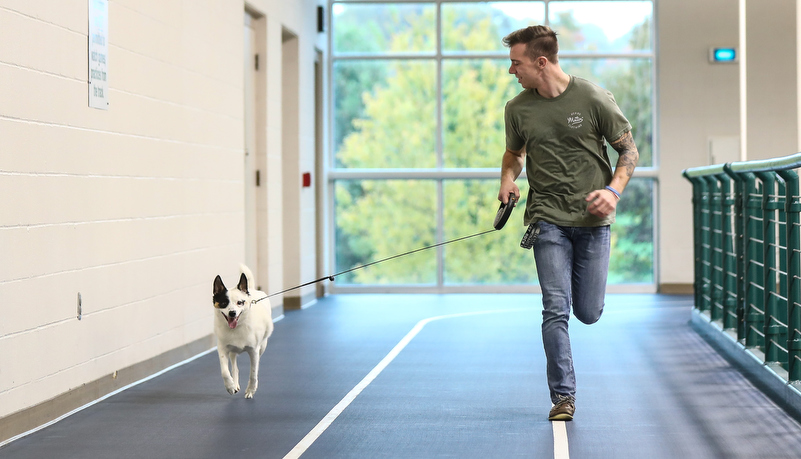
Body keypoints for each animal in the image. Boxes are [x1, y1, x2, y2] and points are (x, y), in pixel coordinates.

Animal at [211, 266, 274, 398]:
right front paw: (230, 386)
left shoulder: (254, 351)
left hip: (262, 346)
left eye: (240, 302)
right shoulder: (222, 349)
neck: (237, 327)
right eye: (224, 303)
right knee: (234, 366)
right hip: (232, 350)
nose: (232, 313)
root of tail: (252, 290)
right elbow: (225, 372)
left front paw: (251, 390)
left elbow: (253, 373)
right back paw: (234, 384)